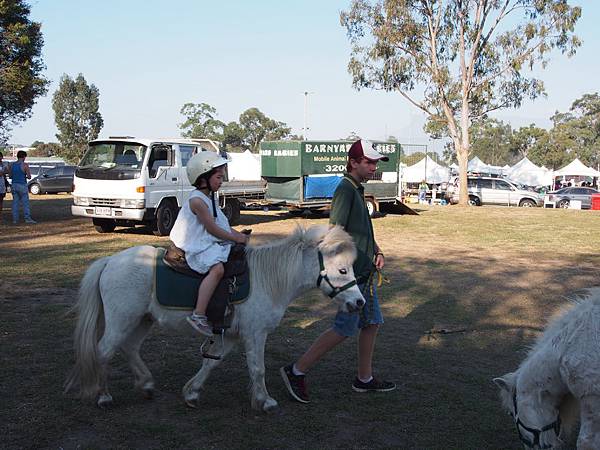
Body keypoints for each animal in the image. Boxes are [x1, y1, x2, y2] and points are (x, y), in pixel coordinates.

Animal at [65, 225, 366, 412]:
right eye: (342, 269)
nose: (359, 303)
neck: (268, 279)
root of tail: (109, 261)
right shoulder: (255, 334)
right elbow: (258, 369)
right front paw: (265, 401)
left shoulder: (230, 334)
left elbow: (211, 364)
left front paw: (191, 393)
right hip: (122, 320)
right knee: (104, 351)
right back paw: (104, 396)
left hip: (142, 320)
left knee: (129, 348)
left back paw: (147, 385)